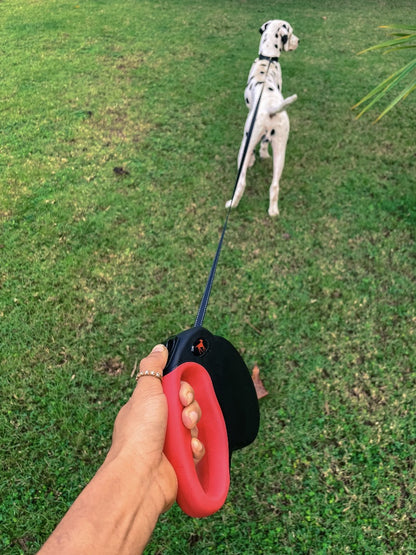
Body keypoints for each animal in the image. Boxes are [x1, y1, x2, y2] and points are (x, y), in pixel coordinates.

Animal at [228, 19, 300, 216]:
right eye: (291, 33)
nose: (299, 41)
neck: (267, 60)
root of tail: (271, 108)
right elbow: (263, 144)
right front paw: (263, 154)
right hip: (281, 150)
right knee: (274, 185)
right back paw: (273, 211)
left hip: (244, 147)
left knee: (241, 183)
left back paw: (231, 204)